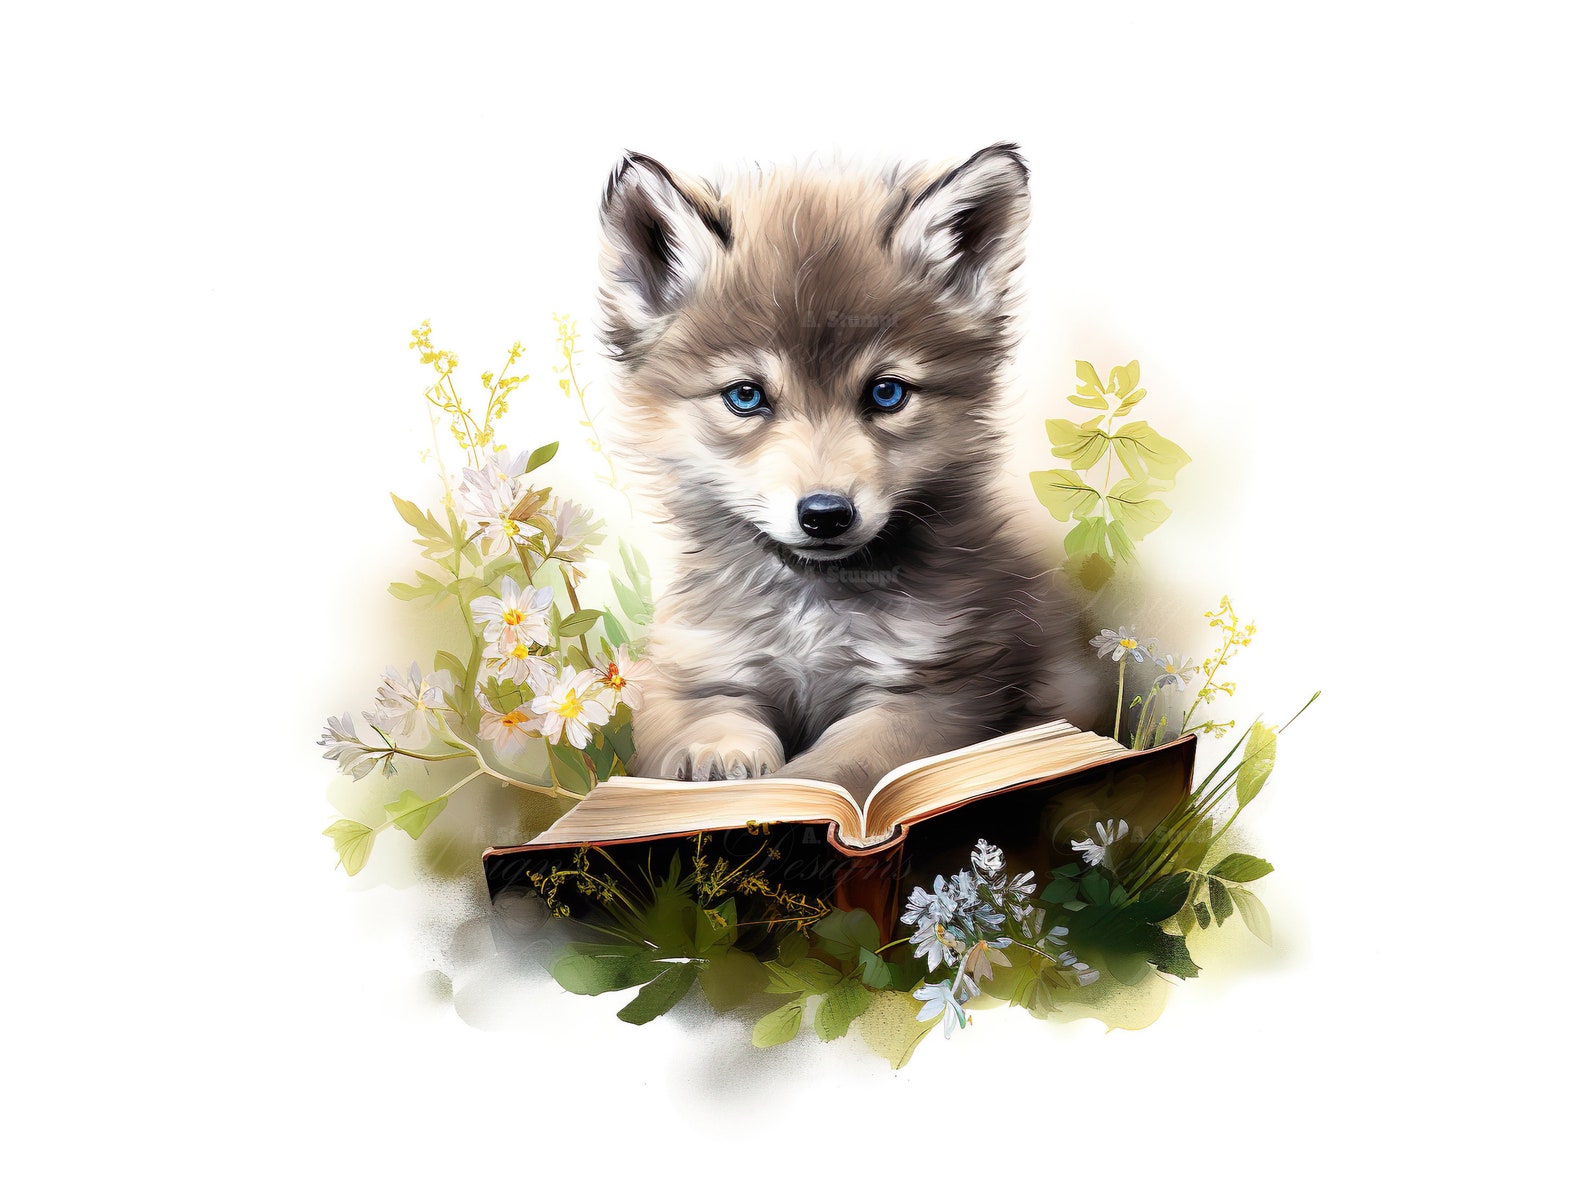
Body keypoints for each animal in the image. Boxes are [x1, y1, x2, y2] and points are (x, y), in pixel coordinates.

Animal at [596, 143, 1108, 797]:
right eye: (746, 396)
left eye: (886, 393)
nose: (825, 515)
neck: (811, 614)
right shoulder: (694, 668)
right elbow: (703, 722)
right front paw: (721, 764)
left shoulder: (938, 691)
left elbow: (840, 767)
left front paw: (800, 799)